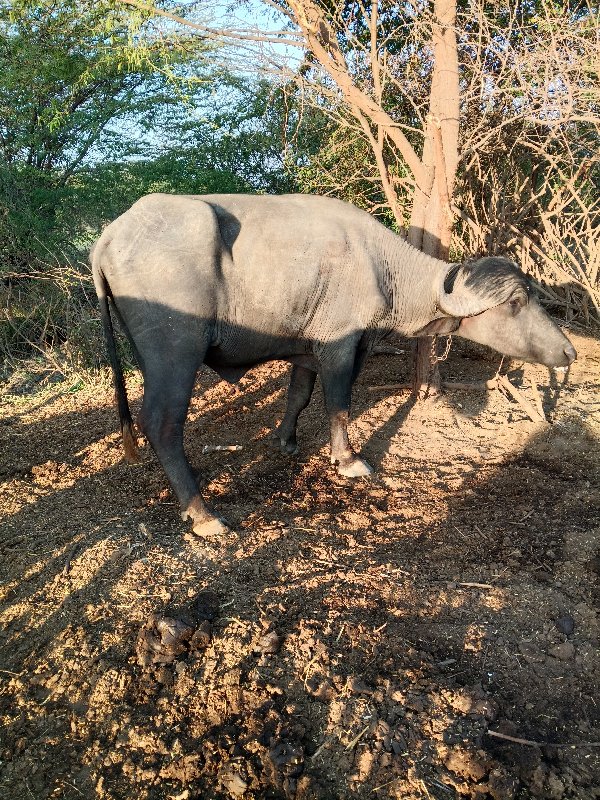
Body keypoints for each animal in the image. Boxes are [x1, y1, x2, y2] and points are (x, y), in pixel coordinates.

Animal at [92, 192, 576, 536]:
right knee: (162, 423)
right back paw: (202, 512)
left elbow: (299, 396)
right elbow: (338, 403)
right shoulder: (342, 345)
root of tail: (110, 236)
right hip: (175, 356)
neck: (381, 266)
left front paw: (285, 440)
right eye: (514, 303)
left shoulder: (308, 349)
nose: (569, 352)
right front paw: (347, 459)